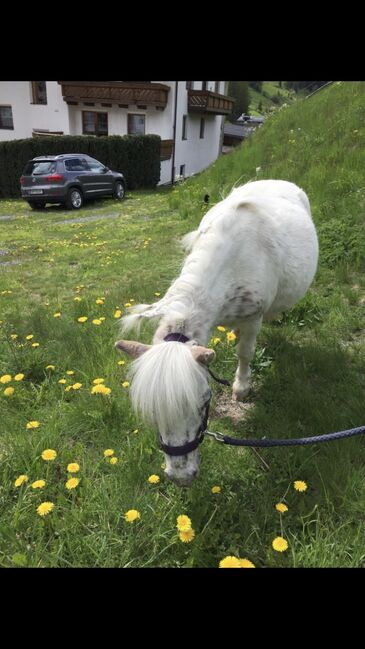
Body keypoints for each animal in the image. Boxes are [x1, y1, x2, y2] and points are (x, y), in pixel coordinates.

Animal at [115, 180, 318, 484]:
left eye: (204, 402)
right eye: (152, 412)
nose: (181, 477)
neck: (231, 264)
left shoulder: (253, 317)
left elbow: (245, 353)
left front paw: (241, 387)